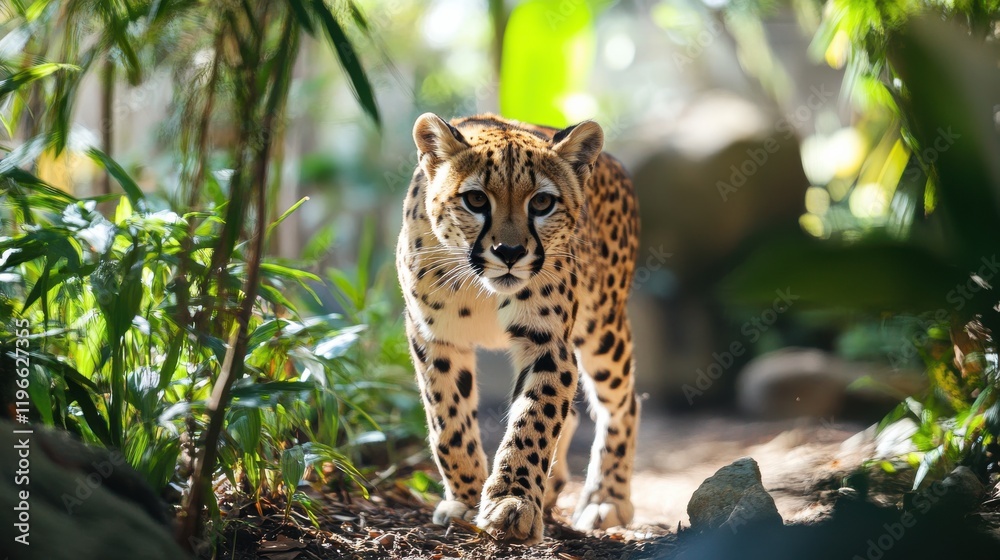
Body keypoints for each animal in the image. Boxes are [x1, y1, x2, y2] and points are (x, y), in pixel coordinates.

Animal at [396, 112, 640, 544]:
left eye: (542, 203)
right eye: (476, 200)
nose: (509, 253)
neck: (481, 289)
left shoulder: (549, 343)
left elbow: (534, 421)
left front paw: (512, 503)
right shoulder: (435, 337)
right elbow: (448, 422)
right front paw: (466, 499)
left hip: (603, 330)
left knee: (623, 404)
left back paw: (606, 498)